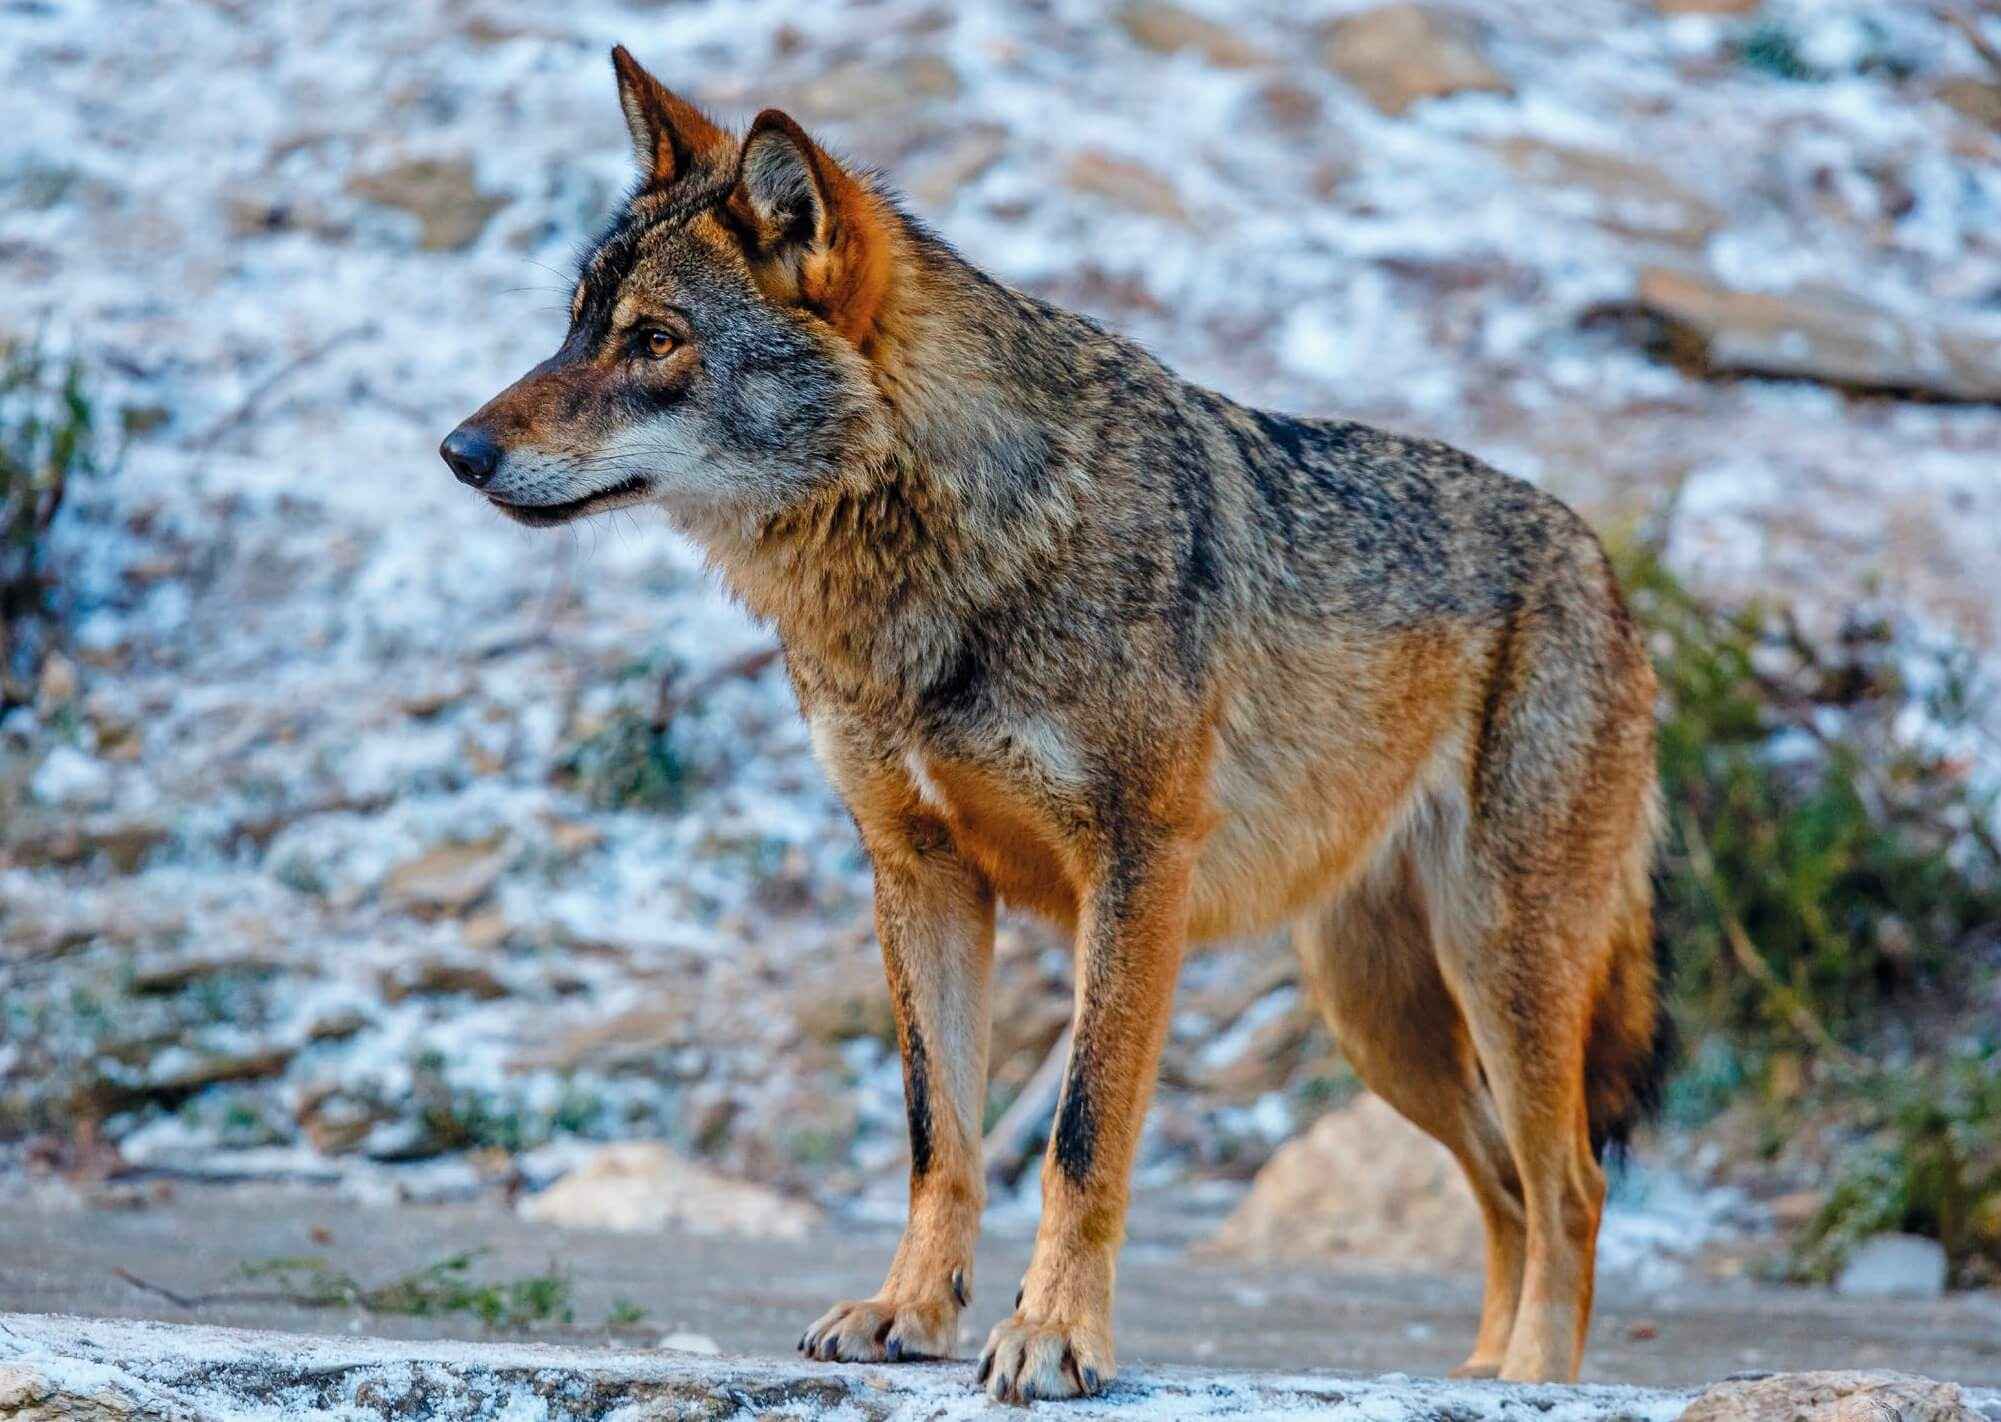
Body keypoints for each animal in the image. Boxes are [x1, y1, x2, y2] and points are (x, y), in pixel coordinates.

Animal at [440, 47, 1668, 1401]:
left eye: (656, 339)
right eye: (573, 325)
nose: (458, 449)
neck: (937, 560)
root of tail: (1598, 563)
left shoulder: (1135, 871)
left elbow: (1080, 1141)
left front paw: (1057, 1336)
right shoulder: (918, 872)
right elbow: (940, 1137)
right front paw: (908, 1312)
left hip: (1499, 970)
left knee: (1572, 1184)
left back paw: (1537, 1379)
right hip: (1381, 1018)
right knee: (1504, 1185)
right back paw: (1484, 1372)